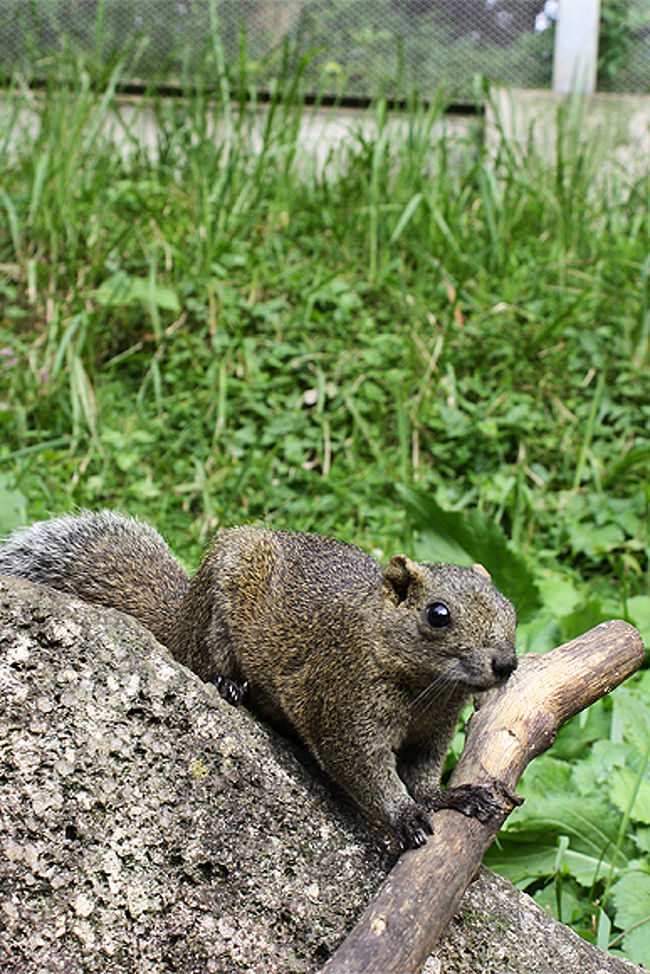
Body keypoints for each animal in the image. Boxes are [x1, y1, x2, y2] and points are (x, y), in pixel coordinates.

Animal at [0, 516, 516, 852]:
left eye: (510, 606)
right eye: (438, 615)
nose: (507, 664)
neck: (427, 689)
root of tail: (179, 620)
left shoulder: (434, 730)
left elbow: (423, 775)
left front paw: (454, 796)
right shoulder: (344, 701)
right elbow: (362, 768)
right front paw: (404, 816)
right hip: (219, 601)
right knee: (201, 660)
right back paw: (229, 686)